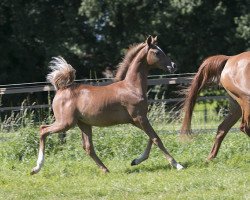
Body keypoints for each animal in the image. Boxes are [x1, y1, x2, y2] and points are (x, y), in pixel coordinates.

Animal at [30, 36, 184, 175]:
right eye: (157, 52)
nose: (174, 66)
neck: (132, 87)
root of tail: (61, 89)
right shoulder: (139, 118)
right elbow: (156, 138)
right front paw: (177, 165)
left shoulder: (137, 120)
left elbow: (151, 138)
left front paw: (135, 161)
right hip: (66, 122)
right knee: (43, 129)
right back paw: (36, 168)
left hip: (83, 124)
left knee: (88, 147)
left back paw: (105, 169)